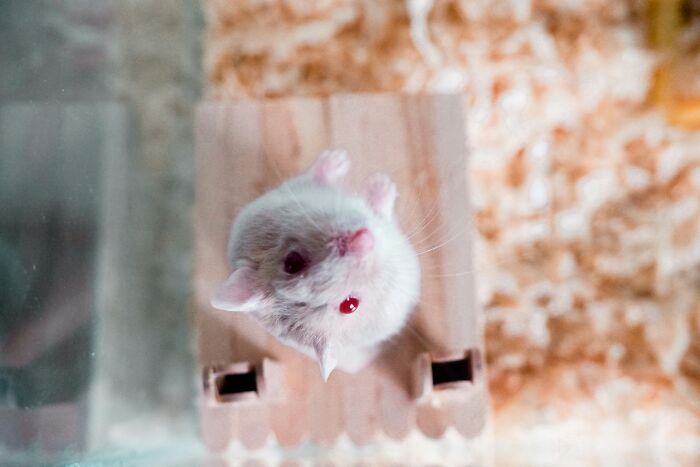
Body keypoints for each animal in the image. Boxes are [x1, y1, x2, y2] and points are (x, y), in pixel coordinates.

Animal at [210, 149, 421, 380]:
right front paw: (378, 180)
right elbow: (381, 211)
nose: (363, 238)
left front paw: (368, 174)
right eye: (350, 305)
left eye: (292, 263)